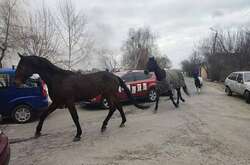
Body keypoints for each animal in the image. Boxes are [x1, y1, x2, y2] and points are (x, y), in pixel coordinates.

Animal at [14, 53, 149, 141]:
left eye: (22, 66)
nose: (16, 82)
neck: (58, 79)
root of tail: (115, 76)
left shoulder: (69, 102)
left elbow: (75, 117)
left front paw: (78, 135)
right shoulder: (57, 102)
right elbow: (43, 114)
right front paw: (37, 132)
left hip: (110, 94)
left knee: (114, 108)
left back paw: (106, 125)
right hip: (108, 94)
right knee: (117, 107)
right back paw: (117, 123)